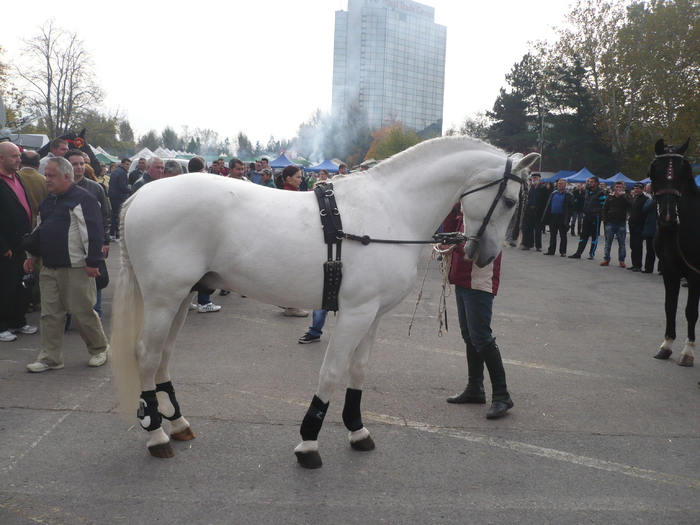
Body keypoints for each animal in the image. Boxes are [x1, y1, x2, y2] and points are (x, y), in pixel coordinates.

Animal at [109, 136, 540, 466]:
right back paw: (157, 435)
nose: (484, 255)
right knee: (147, 354)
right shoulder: (354, 312)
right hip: (164, 298)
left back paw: (178, 424)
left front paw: (357, 430)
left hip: (181, 297)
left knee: (164, 355)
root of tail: (142, 194)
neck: (391, 209)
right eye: (509, 200)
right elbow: (332, 372)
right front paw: (309, 441)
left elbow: (359, 371)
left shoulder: (373, 315)